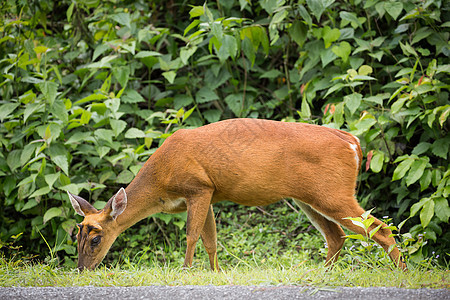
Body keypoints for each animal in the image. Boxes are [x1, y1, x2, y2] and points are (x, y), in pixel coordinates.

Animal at [67, 118, 408, 270]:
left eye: (96, 238)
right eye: (76, 235)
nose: (82, 269)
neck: (161, 182)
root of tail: (353, 142)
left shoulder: (198, 186)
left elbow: (192, 234)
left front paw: (186, 271)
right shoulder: (209, 193)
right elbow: (210, 239)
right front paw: (215, 273)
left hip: (333, 191)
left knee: (380, 227)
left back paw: (400, 272)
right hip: (310, 198)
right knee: (336, 237)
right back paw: (324, 273)